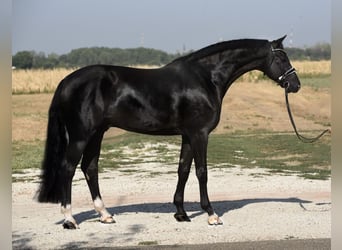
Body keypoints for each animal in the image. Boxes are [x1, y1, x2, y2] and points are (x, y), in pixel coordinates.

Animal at [36, 35, 300, 229]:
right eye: (282, 57)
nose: (295, 85)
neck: (206, 78)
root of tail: (65, 82)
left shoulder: (188, 135)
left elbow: (183, 170)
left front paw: (181, 213)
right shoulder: (200, 134)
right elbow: (202, 172)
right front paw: (211, 214)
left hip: (96, 134)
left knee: (89, 168)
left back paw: (105, 214)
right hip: (81, 136)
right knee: (68, 169)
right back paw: (70, 220)